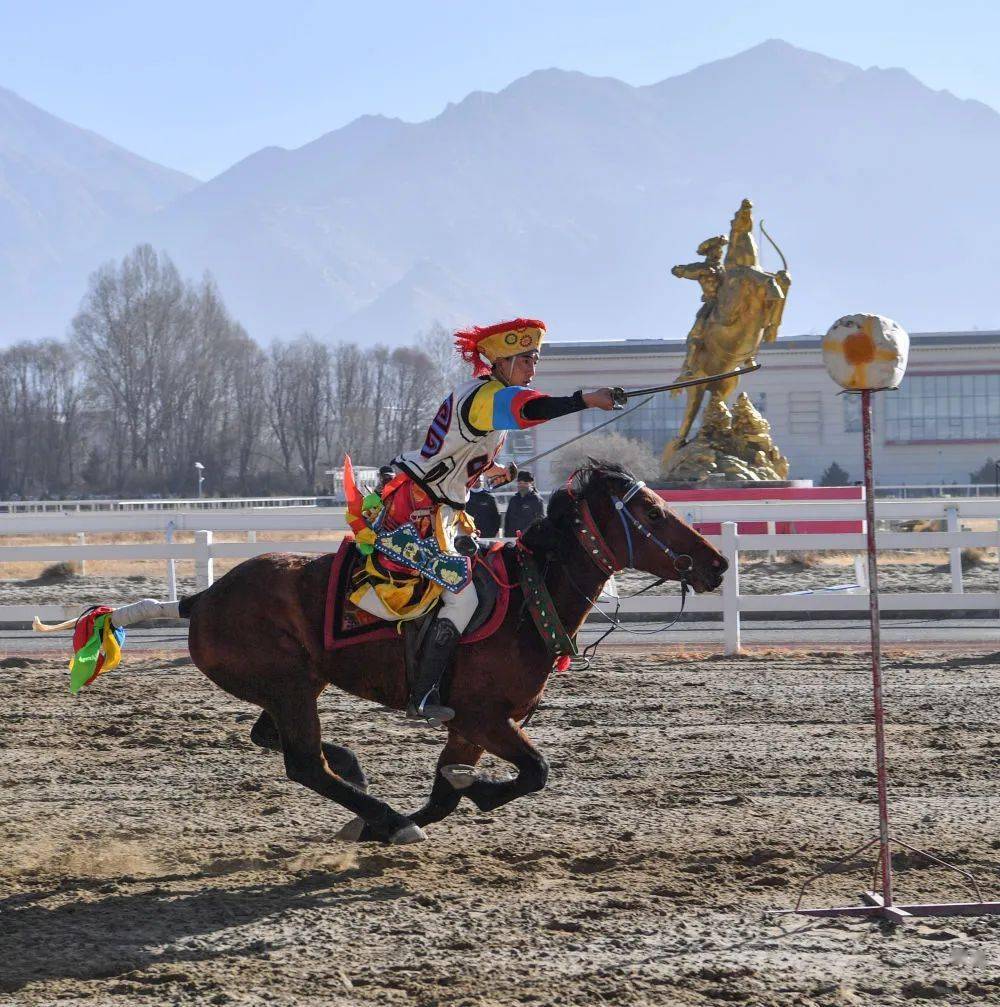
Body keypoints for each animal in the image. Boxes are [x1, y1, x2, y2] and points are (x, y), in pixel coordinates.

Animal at [48, 461, 725, 841]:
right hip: (291, 687)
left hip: (289, 689)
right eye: (653, 515)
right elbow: (534, 772)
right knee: (302, 763)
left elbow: (448, 792)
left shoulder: (469, 727)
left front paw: (421, 808)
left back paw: (365, 790)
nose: (716, 563)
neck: (527, 598)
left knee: (273, 739)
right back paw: (385, 815)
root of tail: (204, 595)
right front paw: (450, 804)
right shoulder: (485, 717)